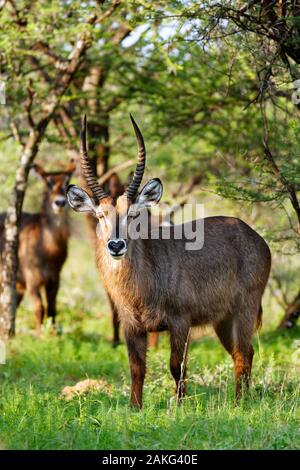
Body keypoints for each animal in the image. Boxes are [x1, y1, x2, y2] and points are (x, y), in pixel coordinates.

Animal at [0, 162, 75, 334]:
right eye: (48, 182)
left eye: (67, 181)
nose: (60, 202)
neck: (48, 250)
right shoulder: (32, 280)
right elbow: (39, 308)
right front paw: (40, 336)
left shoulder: (54, 279)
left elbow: (52, 309)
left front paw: (53, 336)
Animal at [67, 115, 272, 410]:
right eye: (99, 214)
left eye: (132, 214)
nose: (116, 245)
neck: (140, 287)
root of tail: (254, 235)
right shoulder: (131, 327)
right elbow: (137, 368)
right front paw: (135, 408)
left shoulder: (180, 321)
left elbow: (178, 366)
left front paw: (180, 406)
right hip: (222, 319)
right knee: (241, 353)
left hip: (245, 308)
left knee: (244, 353)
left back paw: (239, 405)